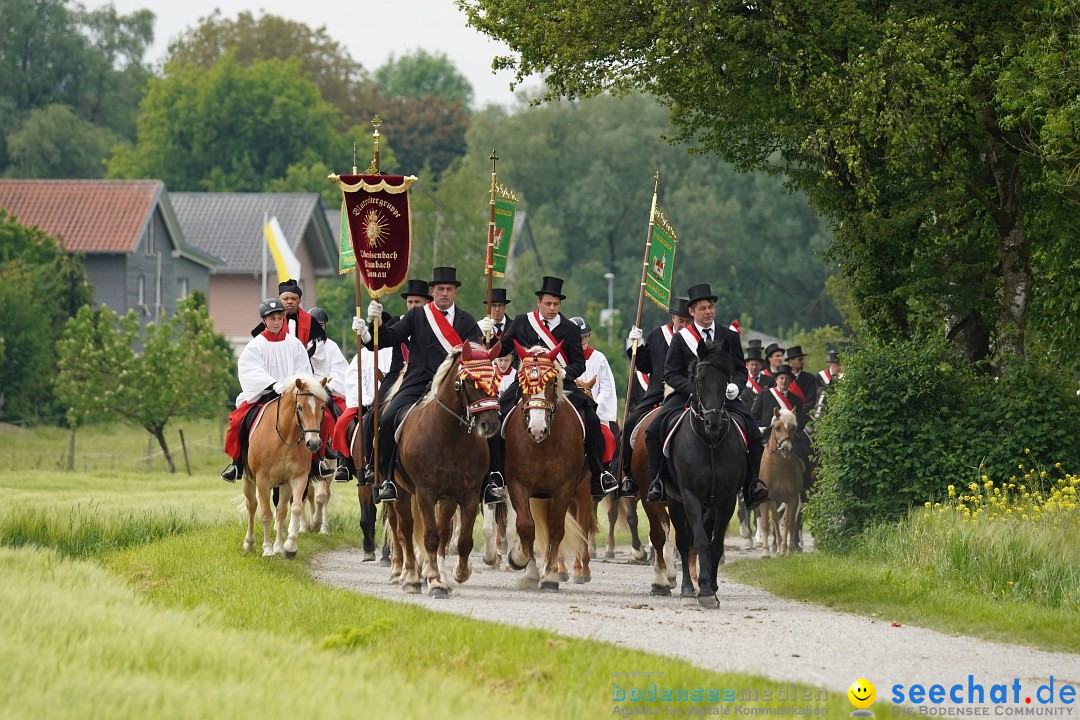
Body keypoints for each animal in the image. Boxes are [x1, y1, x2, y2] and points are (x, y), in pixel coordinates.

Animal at [243, 375, 326, 561]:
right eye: (300, 407)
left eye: (322, 407)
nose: (313, 443)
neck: (285, 438)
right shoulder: (263, 480)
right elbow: (265, 514)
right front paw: (267, 549)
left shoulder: (295, 479)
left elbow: (292, 509)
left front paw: (287, 547)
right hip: (249, 479)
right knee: (252, 506)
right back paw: (249, 544)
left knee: (280, 511)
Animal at [393, 341, 501, 600]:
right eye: (470, 381)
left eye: (496, 379)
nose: (490, 424)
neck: (449, 435)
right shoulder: (425, 493)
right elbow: (430, 538)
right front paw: (434, 581)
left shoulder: (467, 495)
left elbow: (462, 540)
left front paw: (459, 573)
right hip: (401, 491)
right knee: (406, 530)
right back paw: (411, 578)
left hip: (447, 499)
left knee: (442, 532)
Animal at [505, 343, 591, 591]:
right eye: (522, 383)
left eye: (552, 382)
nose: (537, 429)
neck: (542, 445)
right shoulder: (517, 485)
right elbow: (526, 526)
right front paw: (524, 565)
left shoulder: (564, 488)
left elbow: (555, 528)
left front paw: (550, 575)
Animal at [660, 343, 747, 608]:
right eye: (699, 379)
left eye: (726, 379)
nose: (713, 422)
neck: (709, 443)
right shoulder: (690, 497)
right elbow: (697, 540)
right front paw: (704, 591)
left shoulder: (727, 500)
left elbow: (714, 544)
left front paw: (712, 588)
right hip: (675, 501)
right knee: (683, 540)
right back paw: (689, 589)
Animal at [760, 405, 803, 557]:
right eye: (777, 427)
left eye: (793, 427)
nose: (786, 449)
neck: (778, 467)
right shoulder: (765, 499)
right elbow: (766, 524)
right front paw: (765, 552)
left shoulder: (793, 498)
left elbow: (789, 523)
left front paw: (789, 549)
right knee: (775, 519)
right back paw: (778, 547)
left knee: (785, 521)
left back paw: (784, 548)